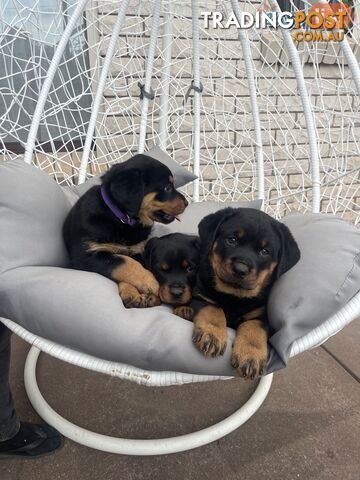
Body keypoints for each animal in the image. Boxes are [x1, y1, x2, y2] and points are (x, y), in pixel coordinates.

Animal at [63, 156, 188, 310]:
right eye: (167, 188)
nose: (187, 203)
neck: (121, 219)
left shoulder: (138, 250)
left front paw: (136, 293)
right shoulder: (85, 256)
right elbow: (124, 262)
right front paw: (149, 282)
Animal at [188, 208, 300, 380]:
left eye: (264, 251)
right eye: (232, 240)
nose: (240, 269)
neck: (233, 296)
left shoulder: (260, 314)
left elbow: (253, 328)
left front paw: (250, 356)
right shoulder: (200, 296)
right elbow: (214, 308)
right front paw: (212, 335)